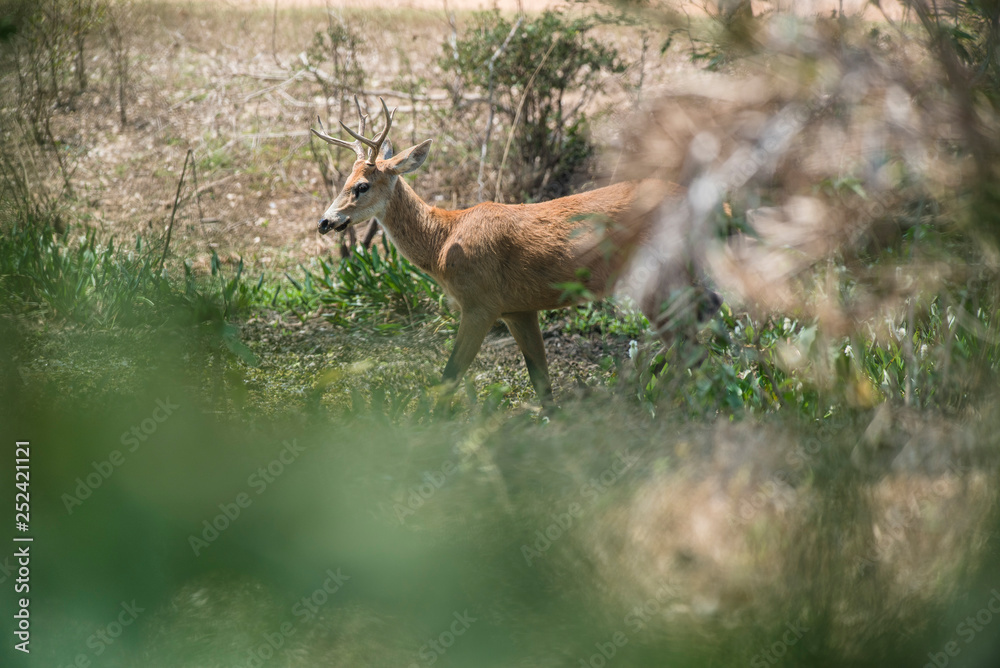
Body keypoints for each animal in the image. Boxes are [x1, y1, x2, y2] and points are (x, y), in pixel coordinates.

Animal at [312, 98, 721, 403]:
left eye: (362, 186)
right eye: (345, 180)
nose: (325, 222)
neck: (443, 240)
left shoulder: (481, 304)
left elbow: (448, 379)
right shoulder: (518, 309)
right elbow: (543, 386)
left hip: (659, 277)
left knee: (691, 348)